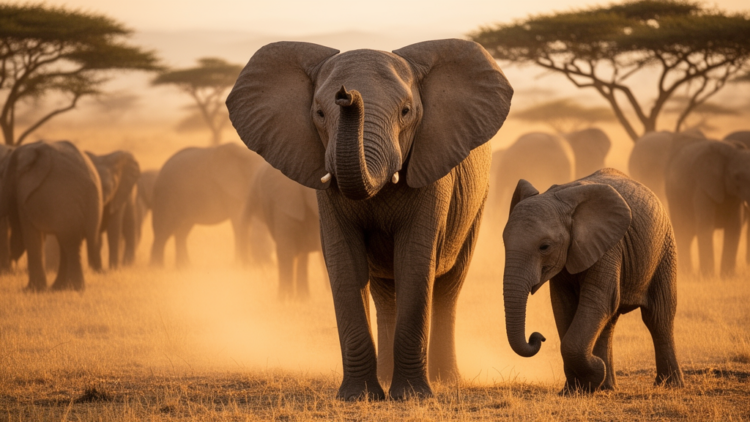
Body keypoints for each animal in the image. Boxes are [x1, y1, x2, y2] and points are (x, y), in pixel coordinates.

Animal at [0, 141, 102, 291]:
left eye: (1, 174)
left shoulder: (26, 193)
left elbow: (29, 234)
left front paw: (31, 291)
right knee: (68, 241)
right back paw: (62, 288)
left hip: (65, 202)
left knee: (70, 241)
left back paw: (72, 288)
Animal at [502, 168, 683, 392]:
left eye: (544, 247)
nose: (538, 337)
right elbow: (564, 306)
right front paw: (573, 389)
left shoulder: (609, 247)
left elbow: (597, 301)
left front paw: (593, 374)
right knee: (610, 321)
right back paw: (608, 387)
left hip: (664, 250)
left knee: (658, 317)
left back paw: (669, 385)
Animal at [665, 139, 750, 276]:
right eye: (736, 177)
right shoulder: (702, 187)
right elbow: (706, 227)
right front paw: (708, 276)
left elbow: (734, 228)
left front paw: (727, 277)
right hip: (674, 198)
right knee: (684, 232)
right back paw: (686, 274)